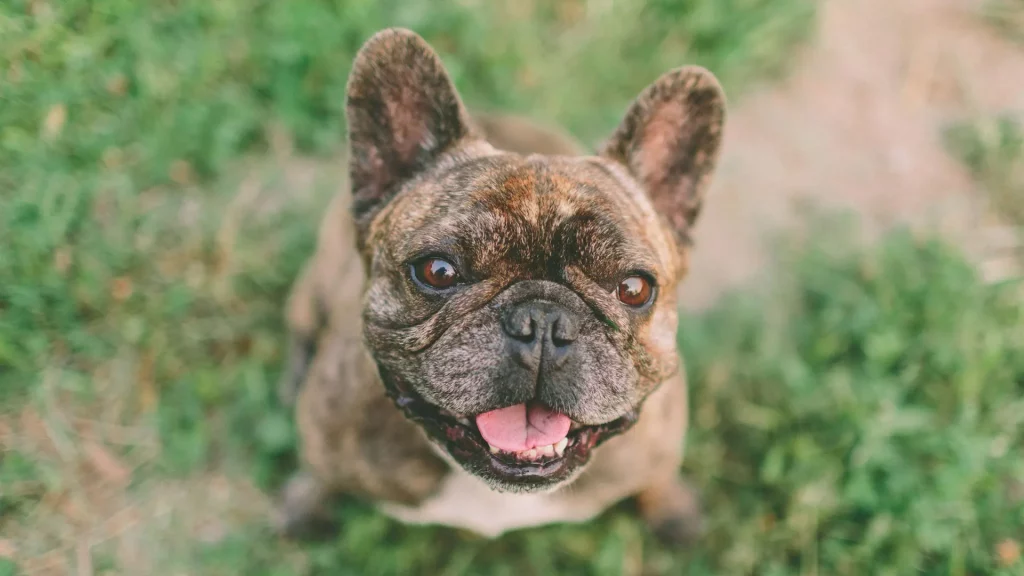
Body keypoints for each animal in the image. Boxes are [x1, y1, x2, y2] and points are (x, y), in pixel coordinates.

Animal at [272, 25, 720, 541]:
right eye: (438, 271)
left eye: (634, 289)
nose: (542, 322)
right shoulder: (326, 435)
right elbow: (320, 472)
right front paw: (306, 504)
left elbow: (659, 476)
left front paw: (672, 510)